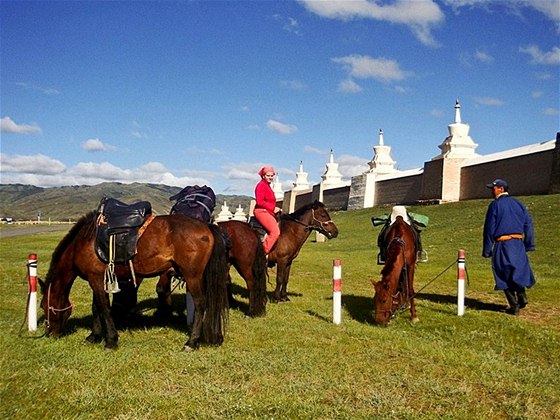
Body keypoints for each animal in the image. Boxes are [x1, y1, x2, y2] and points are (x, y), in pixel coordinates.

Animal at [39, 210, 229, 352]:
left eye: (42, 306)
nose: (49, 333)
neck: (83, 243)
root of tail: (206, 226)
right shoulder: (97, 279)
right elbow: (96, 308)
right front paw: (93, 336)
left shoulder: (95, 279)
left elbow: (103, 308)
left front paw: (110, 341)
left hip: (192, 276)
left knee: (200, 304)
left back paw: (191, 342)